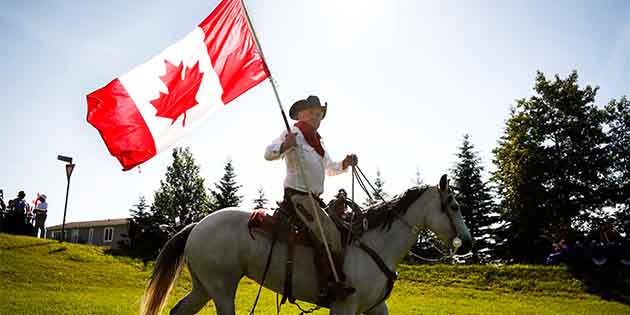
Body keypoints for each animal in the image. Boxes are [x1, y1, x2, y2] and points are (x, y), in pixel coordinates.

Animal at [139, 175, 474, 315]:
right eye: (454, 205)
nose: (468, 243)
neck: (375, 244)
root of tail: (198, 225)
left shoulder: (376, 308)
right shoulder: (344, 307)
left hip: (204, 286)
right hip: (221, 289)